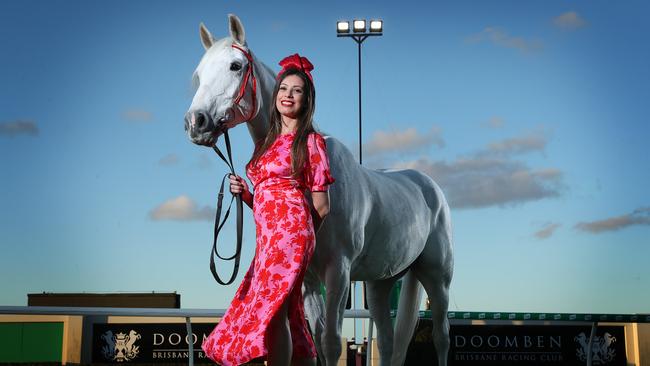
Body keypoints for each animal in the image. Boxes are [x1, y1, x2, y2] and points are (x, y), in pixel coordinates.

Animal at [182, 13, 454, 364]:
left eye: (235, 66)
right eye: (199, 73)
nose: (195, 122)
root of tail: (430, 187)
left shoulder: (338, 271)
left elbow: (331, 343)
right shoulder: (310, 281)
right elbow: (317, 343)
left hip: (437, 277)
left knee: (441, 336)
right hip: (381, 282)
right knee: (389, 340)